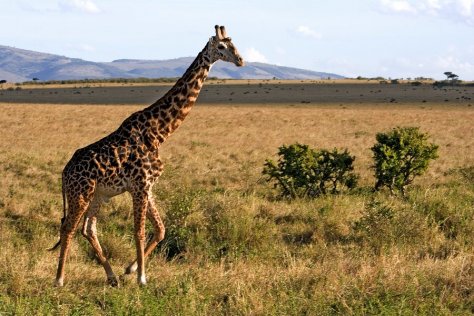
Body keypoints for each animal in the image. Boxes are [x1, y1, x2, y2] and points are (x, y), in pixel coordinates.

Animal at [51, 24, 244, 286]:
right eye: (222, 46)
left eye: (235, 45)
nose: (241, 61)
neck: (160, 131)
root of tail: (64, 172)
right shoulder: (140, 185)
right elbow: (139, 231)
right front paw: (142, 277)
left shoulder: (148, 186)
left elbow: (160, 229)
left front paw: (130, 269)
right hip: (80, 193)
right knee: (68, 228)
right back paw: (59, 279)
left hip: (98, 195)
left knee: (88, 229)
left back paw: (112, 276)